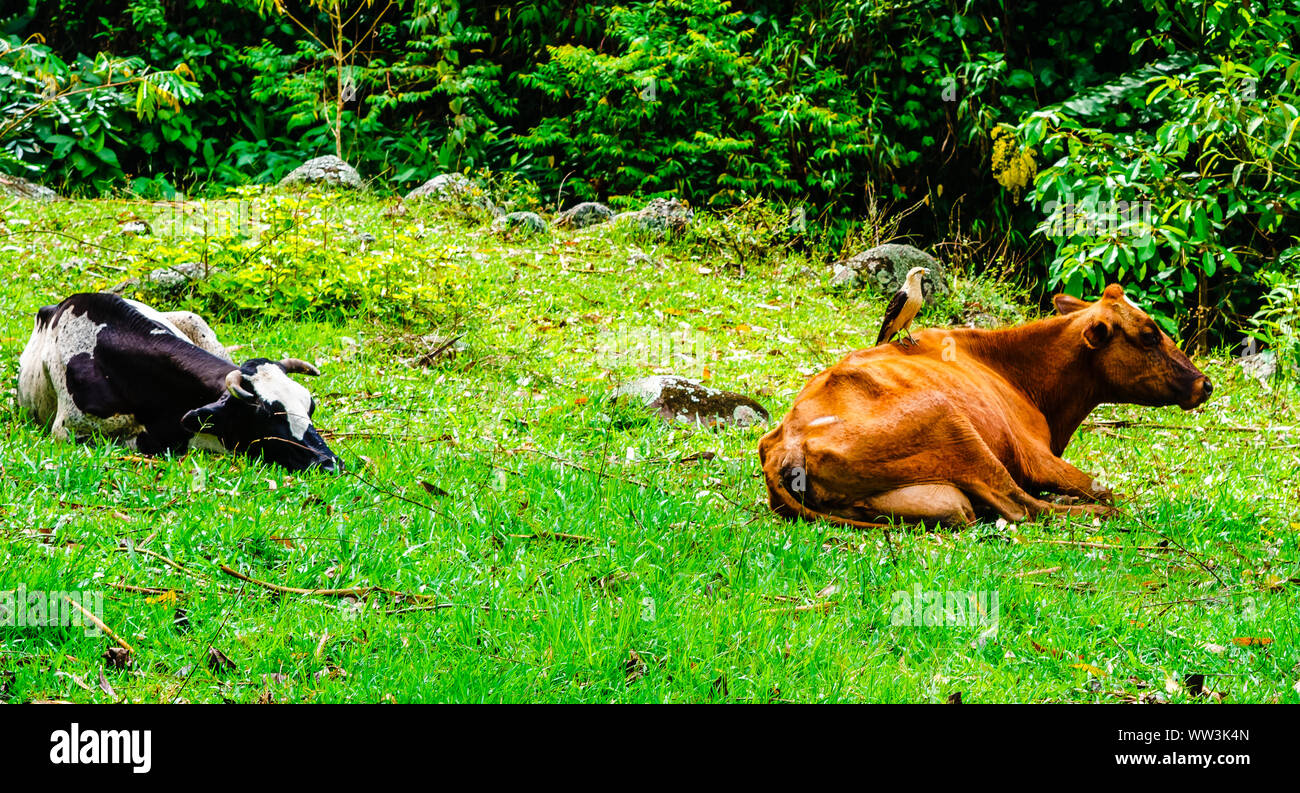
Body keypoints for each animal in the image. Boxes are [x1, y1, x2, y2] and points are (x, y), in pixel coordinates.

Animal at [759, 283, 1211, 525]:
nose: (1204, 384)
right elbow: (1104, 489)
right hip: (957, 430)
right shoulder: (1034, 455)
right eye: (1149, 334)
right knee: (1023, 507)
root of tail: (786, 443)